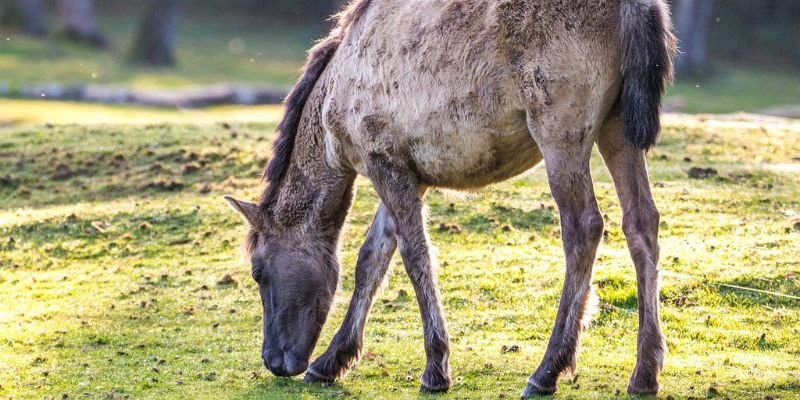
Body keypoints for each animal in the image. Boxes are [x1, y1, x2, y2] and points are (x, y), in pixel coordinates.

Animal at [223, 0, 676, 394]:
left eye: (258, 272)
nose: (274, 360)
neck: (333, 102)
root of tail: (634, 7)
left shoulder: (383, 163)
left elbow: (414, 256)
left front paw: (435, 367)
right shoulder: (409, 174)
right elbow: (371, 259)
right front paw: (331, 361)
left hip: (561, 133)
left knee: (584, 227)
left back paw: (547, 371)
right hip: (616, 126)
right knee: (641, 222)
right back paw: (645, 373)